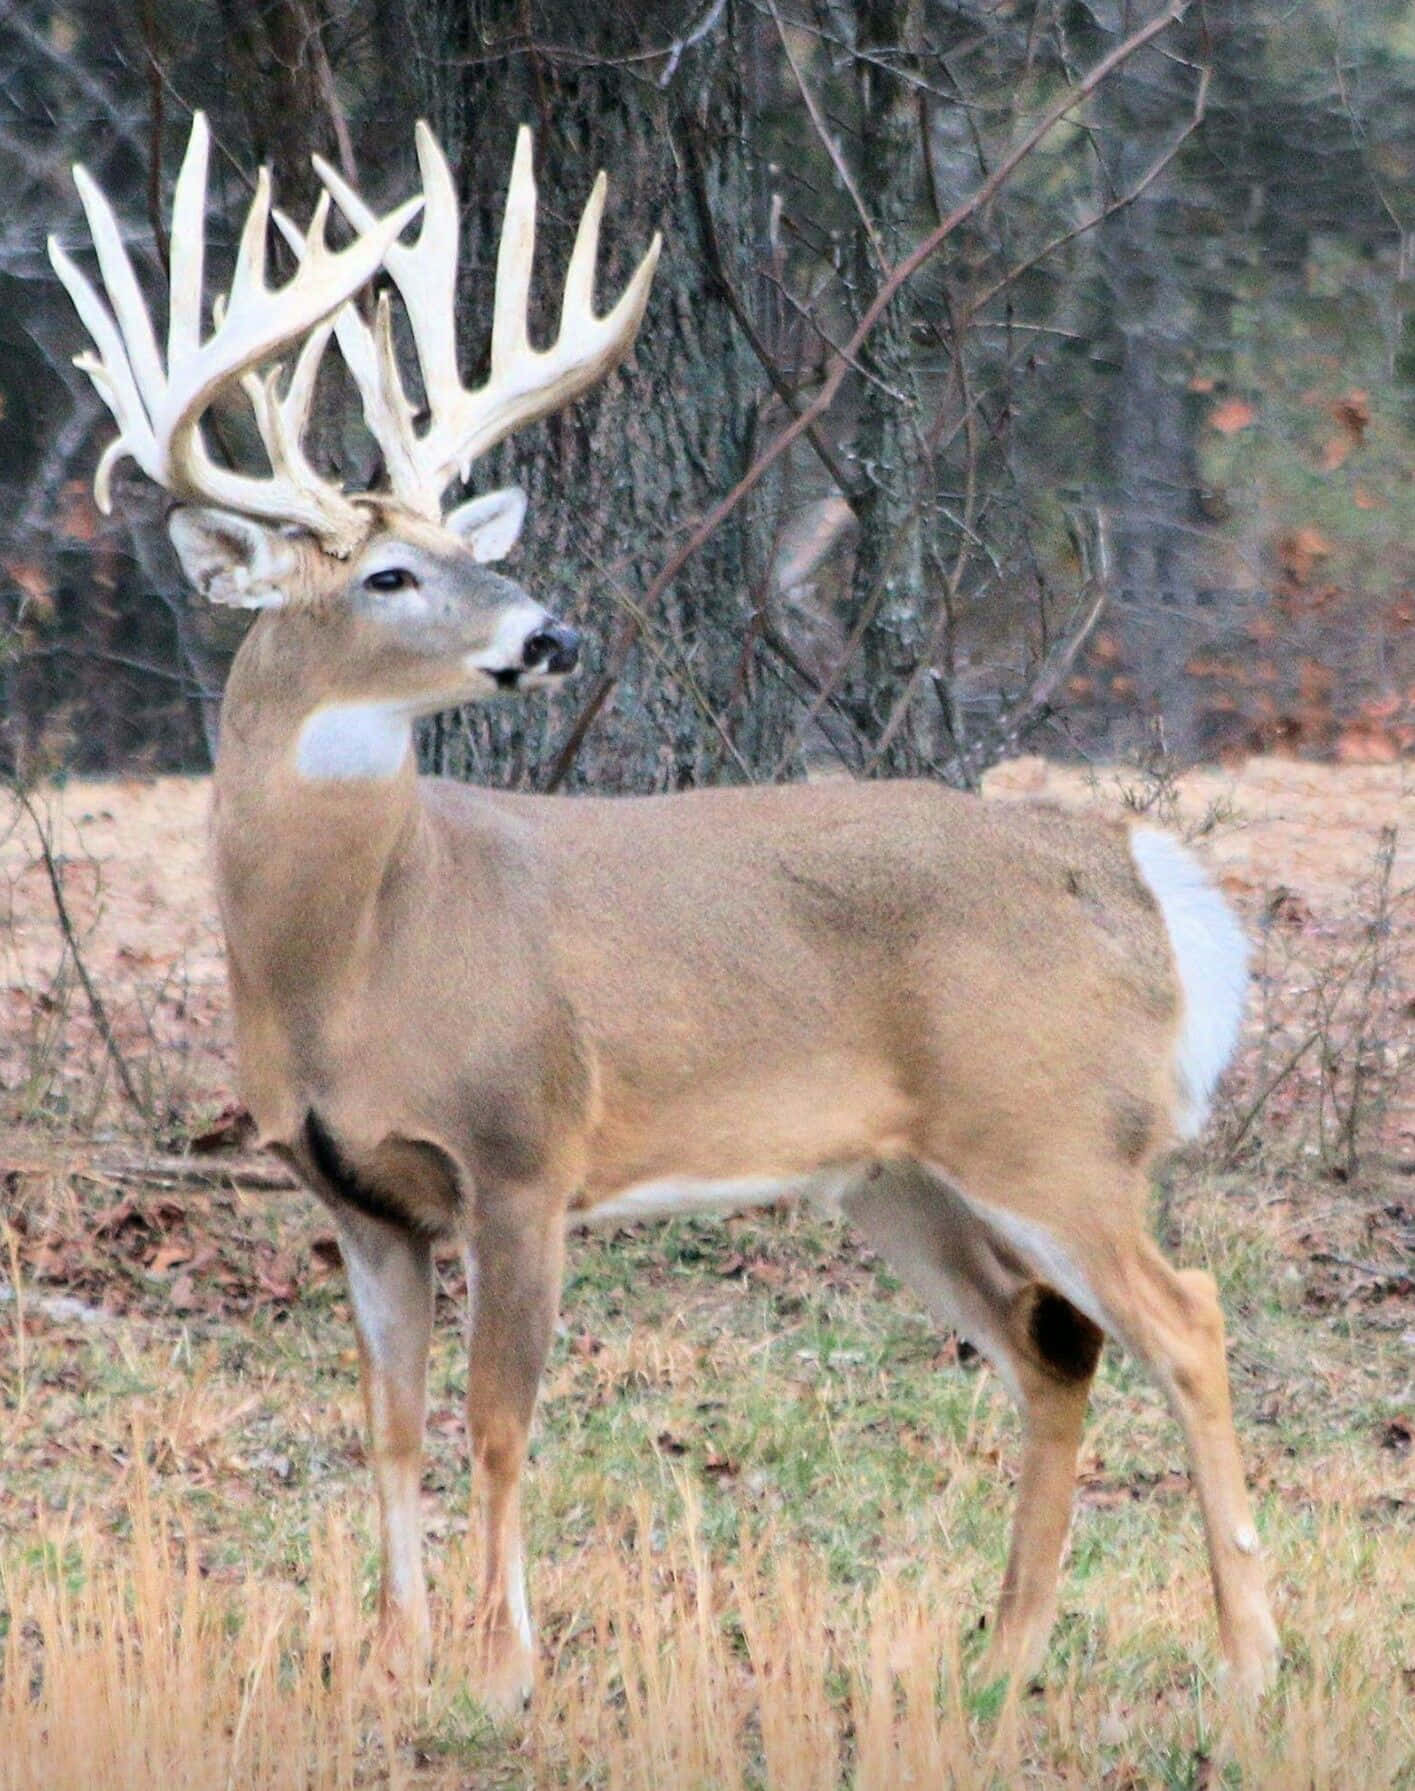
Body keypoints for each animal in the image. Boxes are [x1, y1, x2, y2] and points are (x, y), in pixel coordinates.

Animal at [51, 113, 1280, 1714]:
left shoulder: (521, 1146)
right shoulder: (355, 1194)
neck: (354, 955)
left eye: (477, 550)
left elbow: (499, 1417)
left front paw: (501, 1669)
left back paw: (1248, 1658)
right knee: (1045, 1345)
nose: (550, 633)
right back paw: (999, 1654)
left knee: (1184, 1319)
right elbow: (388, 1427)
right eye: (390, 571)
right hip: (901, 1175)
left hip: (1052, 1128)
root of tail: (1139, 873)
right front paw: (393, 1659)